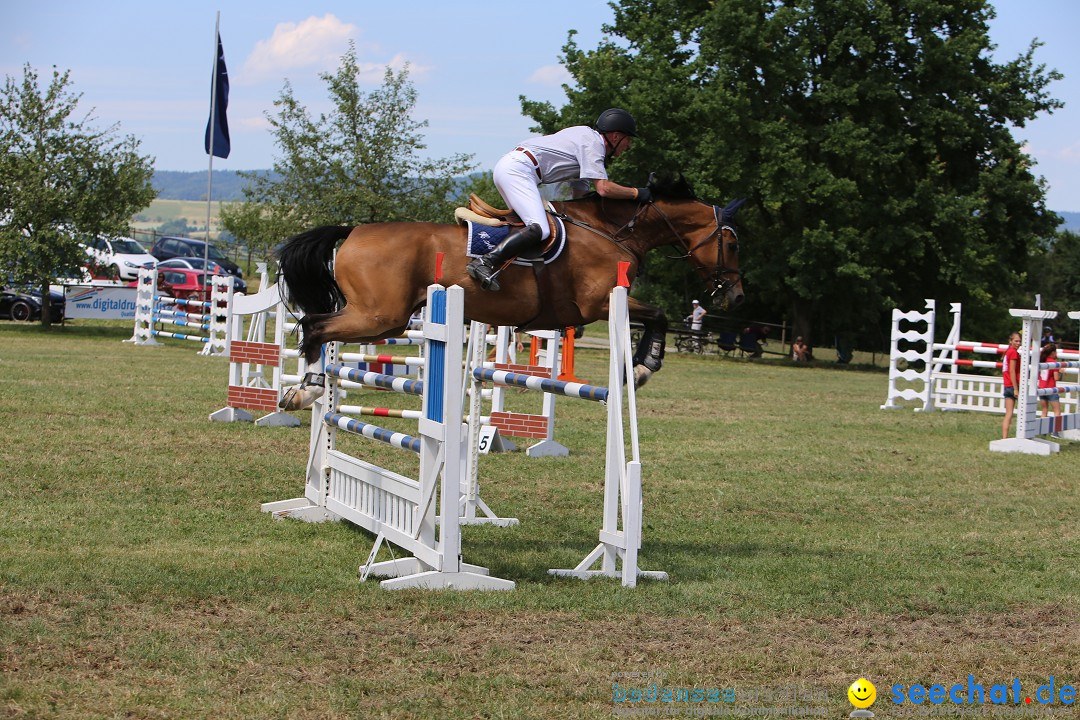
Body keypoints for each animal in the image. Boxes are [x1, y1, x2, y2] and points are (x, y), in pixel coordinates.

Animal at [276, 172, 743, 408]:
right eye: (734, 244)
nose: (736, 297)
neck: (610, 230)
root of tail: (353, 231)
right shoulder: (599, 303)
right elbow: (658, 315)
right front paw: (645, 367)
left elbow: (654, 317)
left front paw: (642, 366)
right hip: (379, 316)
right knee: (315, 326)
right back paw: (307, 389)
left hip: (382, 320)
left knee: (317, 325)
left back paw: (303, 391)